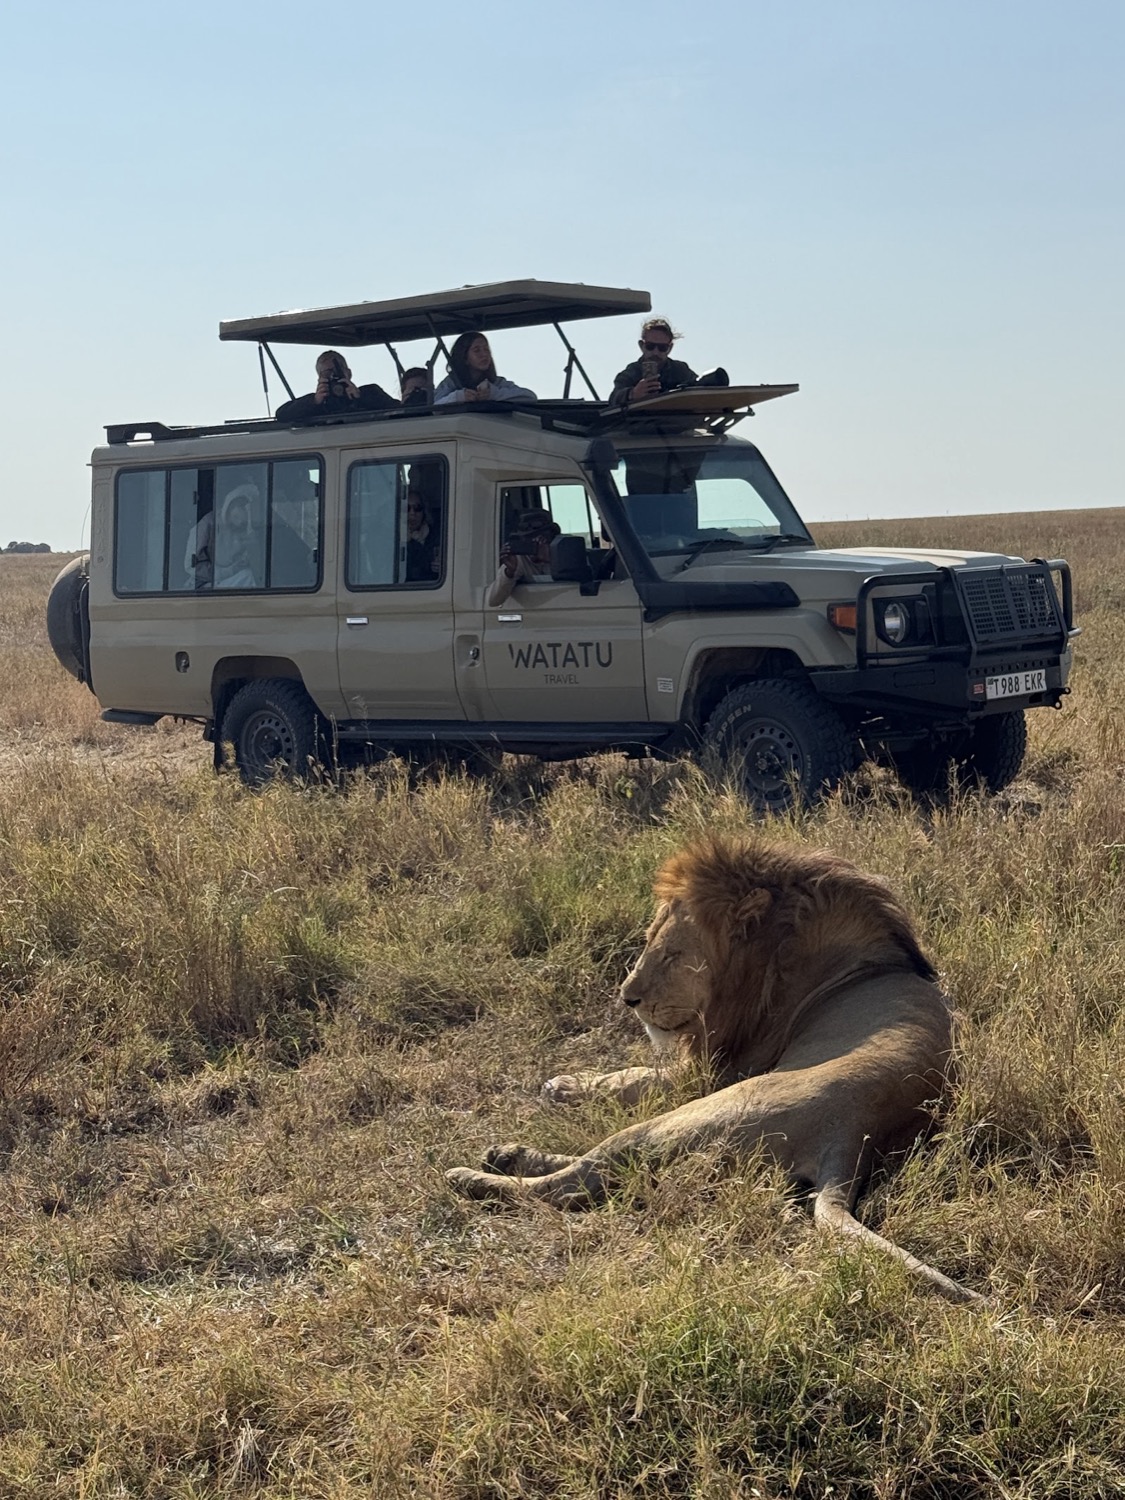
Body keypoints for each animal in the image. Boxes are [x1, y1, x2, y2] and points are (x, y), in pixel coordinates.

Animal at [446, 835, 984, 1306]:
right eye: (647, 942)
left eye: (672, 954)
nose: (627, 998)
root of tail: (855, 1135)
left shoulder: (718, 1071)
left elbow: (640, 1075)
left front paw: (565, 1084)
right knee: (616, 1173)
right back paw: (505, 1154)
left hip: (700, 1112)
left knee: (578, 1181)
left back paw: (475, 1177)